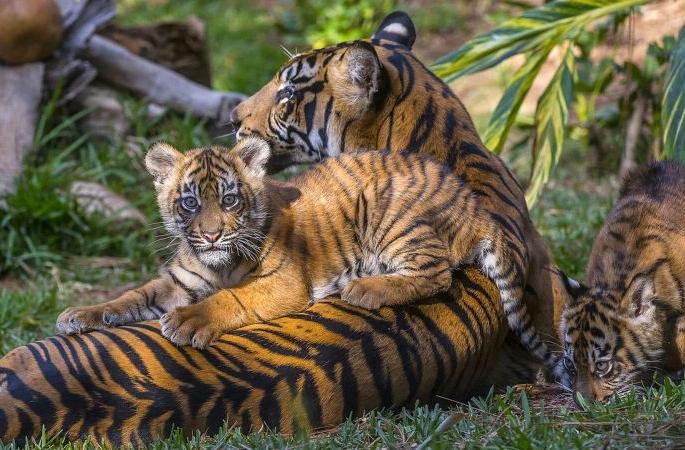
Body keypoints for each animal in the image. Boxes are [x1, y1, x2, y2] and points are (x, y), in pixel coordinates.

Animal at [57, 137, 533, 354]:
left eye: (229, 199)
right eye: (190, 202)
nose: (210, 235)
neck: (216, 263)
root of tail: (474, 204)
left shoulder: (282, 282)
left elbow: (231, 297)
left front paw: (188, 322)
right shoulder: (178, 282)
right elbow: (131, 297)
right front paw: (81, 314)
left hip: (393, 216)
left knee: (436, 273)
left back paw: (364, 288)